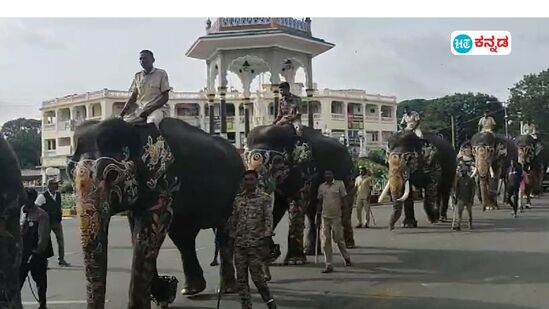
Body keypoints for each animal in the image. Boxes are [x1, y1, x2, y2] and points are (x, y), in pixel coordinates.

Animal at [67, 116, 243, 306]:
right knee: (183, 238)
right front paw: (165, 291)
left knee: (225, 235)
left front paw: (163, 291)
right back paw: (191, 290)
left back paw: (225, 289)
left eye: (112, 175)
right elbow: (138, 234)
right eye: (70, 173)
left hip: (235, 191)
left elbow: (148, 233)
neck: (135, 126)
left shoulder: (166, 181)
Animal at [243, 124, 352, 262]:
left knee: (345, 208)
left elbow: (296, 202)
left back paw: (348, 245)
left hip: (349, 176)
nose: (275, 249)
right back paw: (310, 251)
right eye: (245, 162)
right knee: (312, 212)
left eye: (276, 162)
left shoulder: (305, 166)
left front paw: (295, 261)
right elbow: (279, 206)